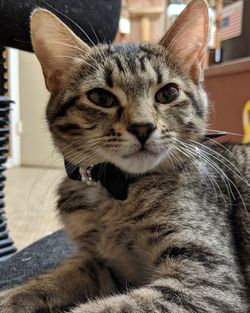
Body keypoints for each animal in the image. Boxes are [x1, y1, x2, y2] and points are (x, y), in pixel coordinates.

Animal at [0, 0, 250, 310]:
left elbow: (112, 307)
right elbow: (57, 278)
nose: (143, 127)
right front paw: (15, 296)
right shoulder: (100, 262)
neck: (115, 189)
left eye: (167, 94)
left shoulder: (208, 279)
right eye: (101, 98)